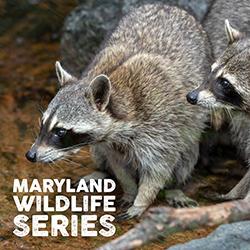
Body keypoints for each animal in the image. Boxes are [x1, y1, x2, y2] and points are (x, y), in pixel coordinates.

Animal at [25, 3, 213, 219]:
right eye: (43, 123)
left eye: (61, 131)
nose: (31, 155)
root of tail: (167, 6)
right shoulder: (110, 144)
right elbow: (119, 166)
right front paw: (130, 190)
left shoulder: (161, 127)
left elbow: (159, 168)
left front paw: (142, 200)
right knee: (100, 154)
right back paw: (102, 171)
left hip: (190, 126)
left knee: (186, 156)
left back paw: (175, 186)